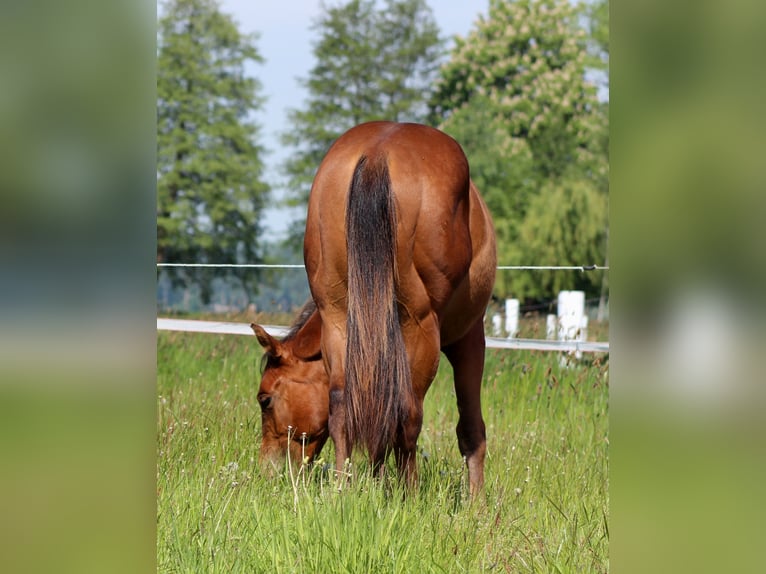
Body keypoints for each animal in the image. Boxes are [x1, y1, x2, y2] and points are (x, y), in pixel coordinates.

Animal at [252, 121, 496, 495]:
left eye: (265, 400)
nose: (271, 470)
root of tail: (378, 153)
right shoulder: (469, 338)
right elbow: (471, 429)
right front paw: (477, 504)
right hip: (419, 327)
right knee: (408, 413)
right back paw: (409, 496)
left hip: (339, 319)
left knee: (344, 407)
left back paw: (343, 492)